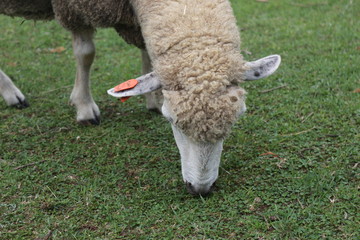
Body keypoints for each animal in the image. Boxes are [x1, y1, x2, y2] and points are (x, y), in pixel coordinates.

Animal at [0, 0, 282, 195]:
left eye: (238, 117)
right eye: (172, 121)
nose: (200, 189)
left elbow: (148, 53)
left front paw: (152, 100)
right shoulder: (74, 9)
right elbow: (86, 53)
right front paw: (84, 106)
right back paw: (12, 93)